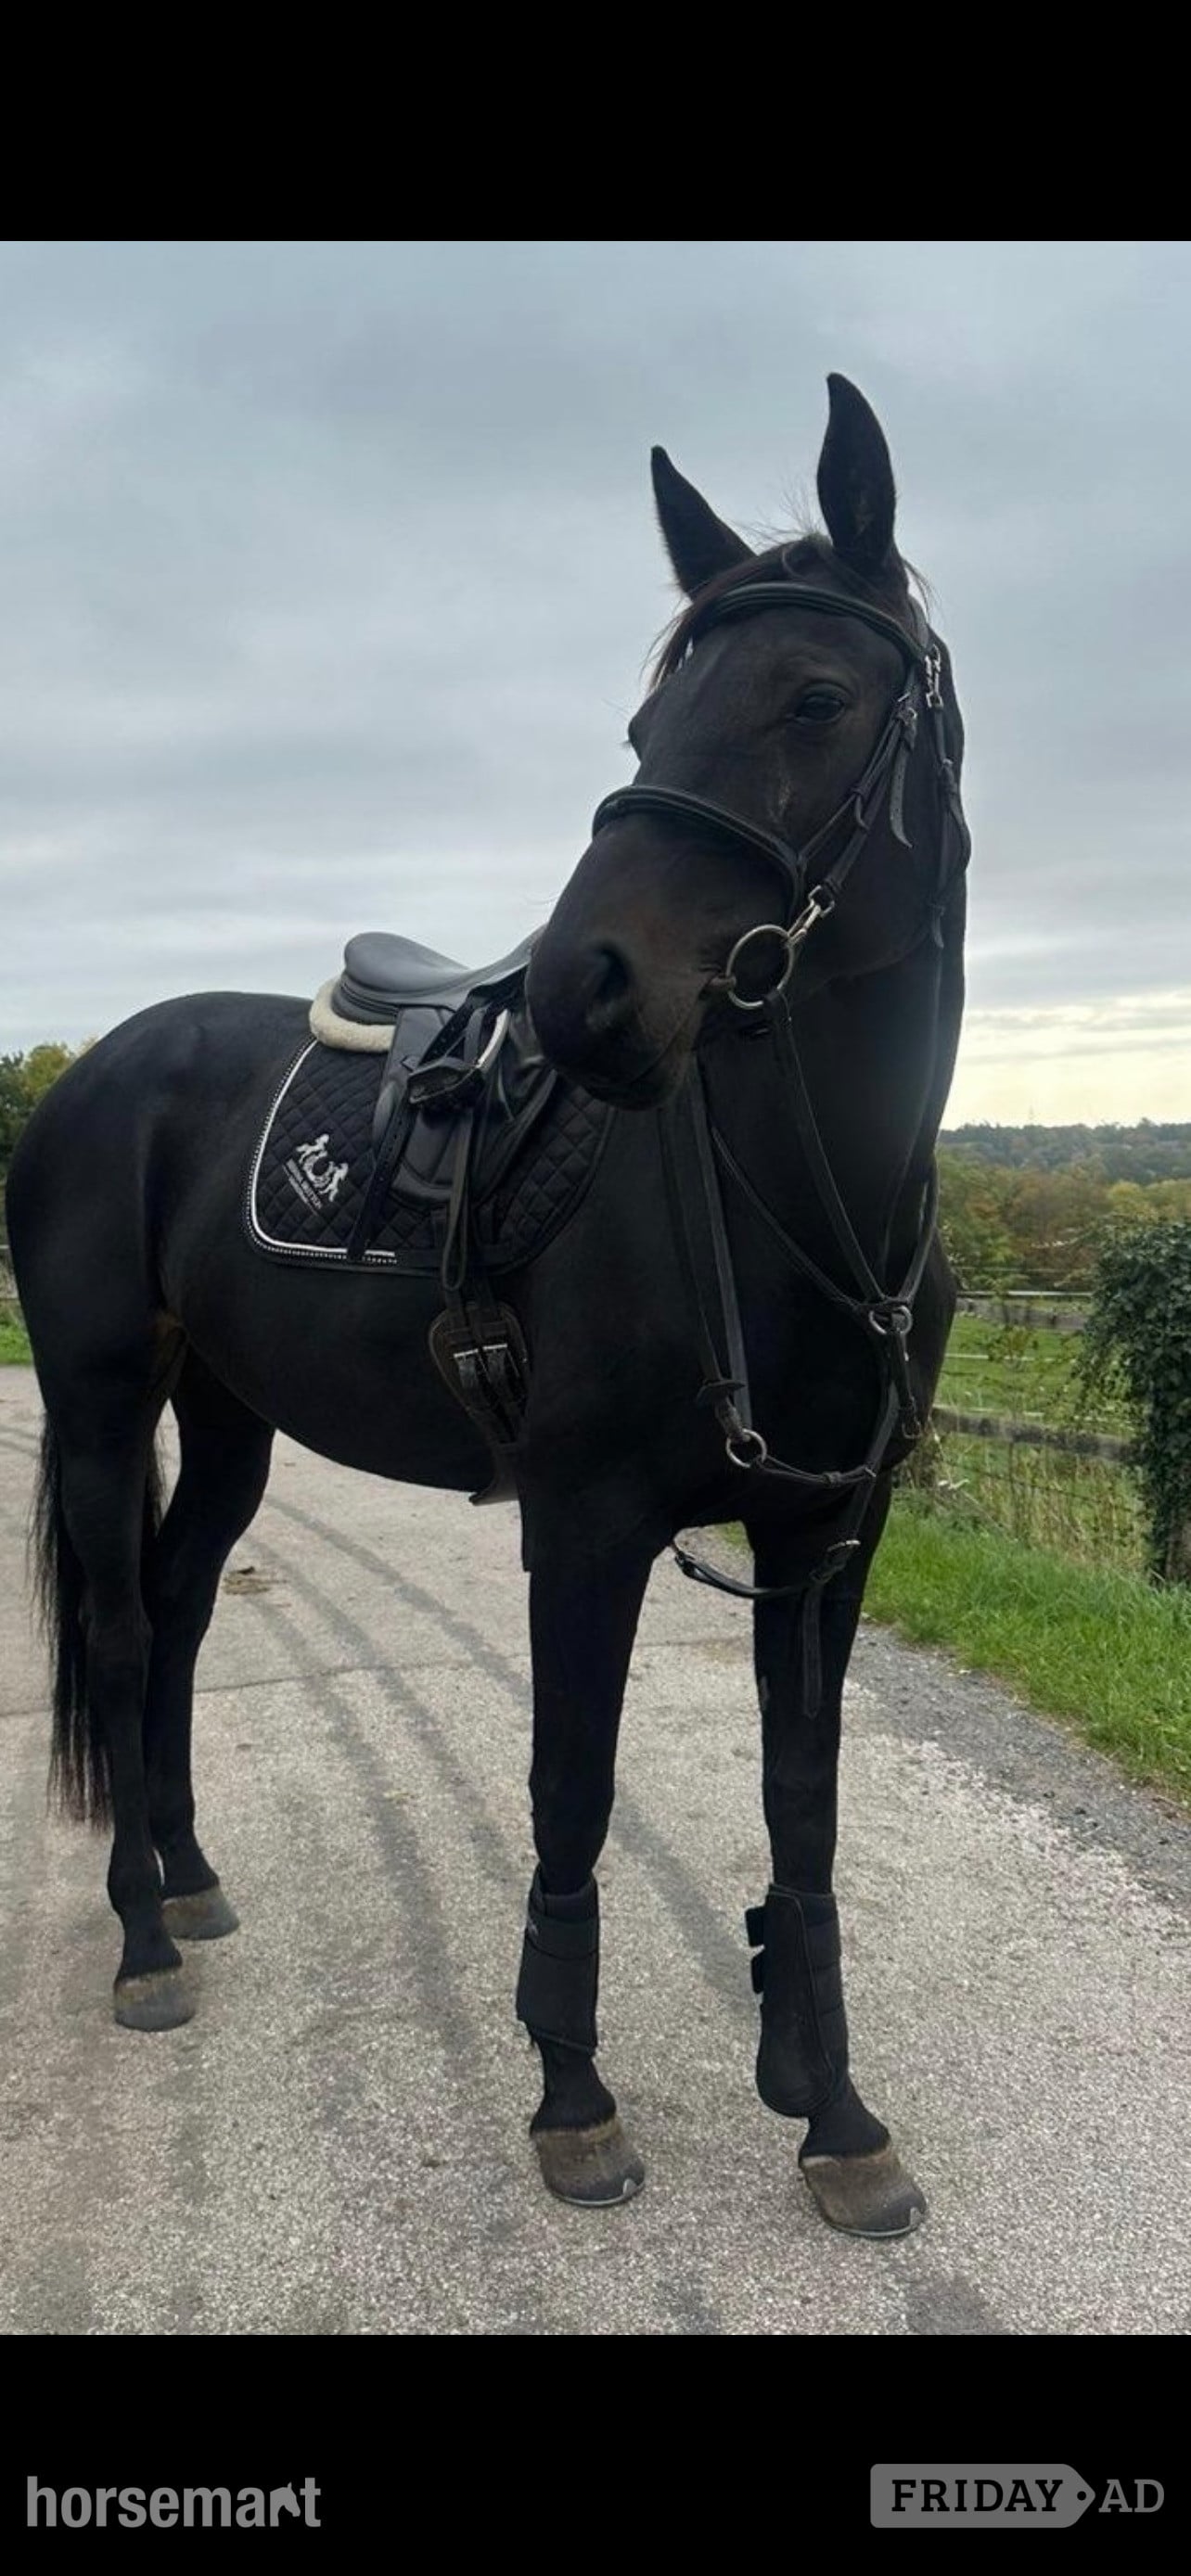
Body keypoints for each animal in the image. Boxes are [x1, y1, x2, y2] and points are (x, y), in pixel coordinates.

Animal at [7, 374, 969, 2239]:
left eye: (815, 695)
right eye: (646, 711)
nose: (587, 984)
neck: (798, 1201)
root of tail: (99, 1067)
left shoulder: (826, 1539)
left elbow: (801, 1812)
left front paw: (831, 2108)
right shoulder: (584, 1521)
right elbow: (570, 1793)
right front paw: (573, 2097)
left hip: (229, 1416)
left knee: (183, 1610)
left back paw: (192, 1875)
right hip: (95, 1401)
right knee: (124, 1624)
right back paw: (145, 1937)